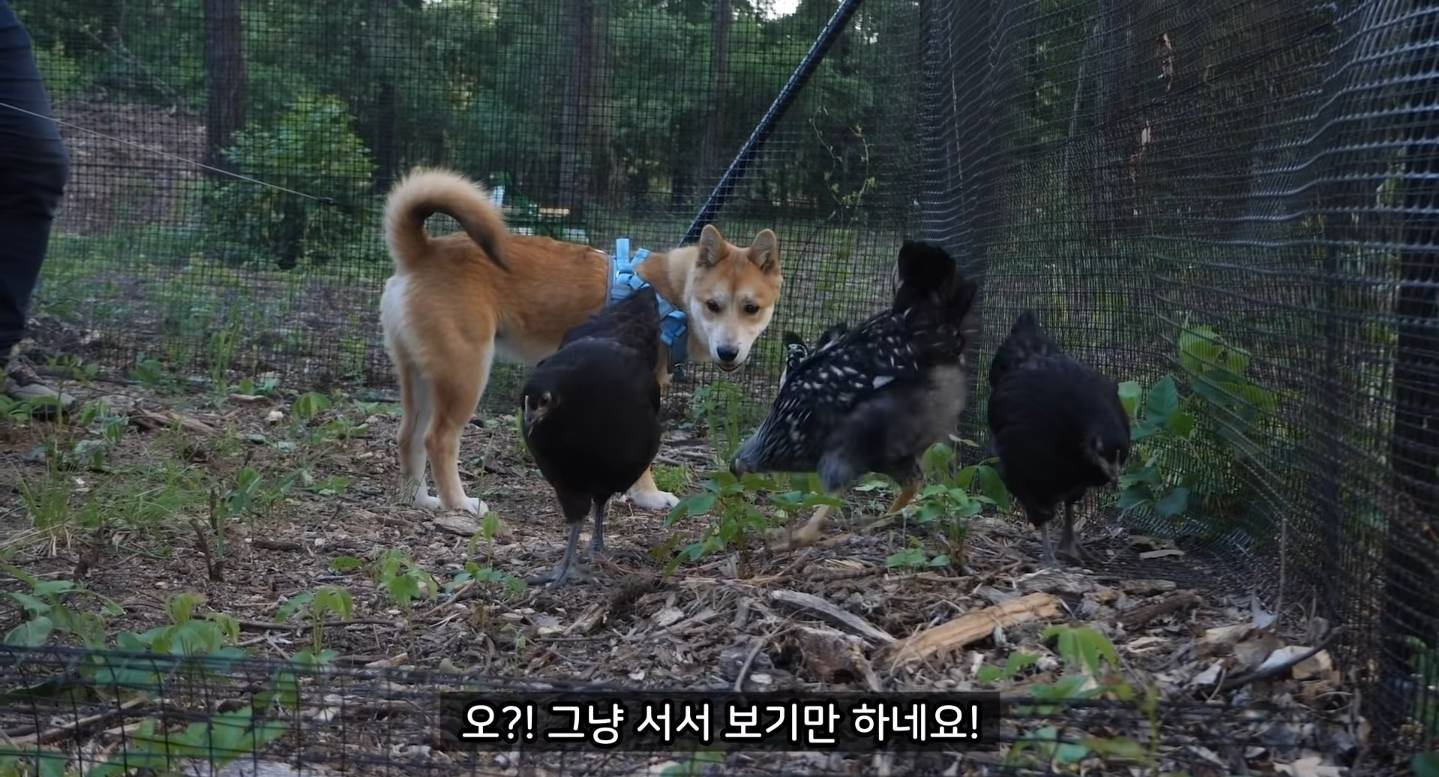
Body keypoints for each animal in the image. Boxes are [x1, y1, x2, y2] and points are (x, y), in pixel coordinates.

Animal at [377, 166, 782, 512]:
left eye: (751, 308)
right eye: (713, 305)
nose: (727, 352)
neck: (671, 293)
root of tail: (422, 253)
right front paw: (647, 496)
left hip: (422, 377)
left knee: (408, 436)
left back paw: (421, 500)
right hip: (465, 373)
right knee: (438, 439)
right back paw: (458, 504)